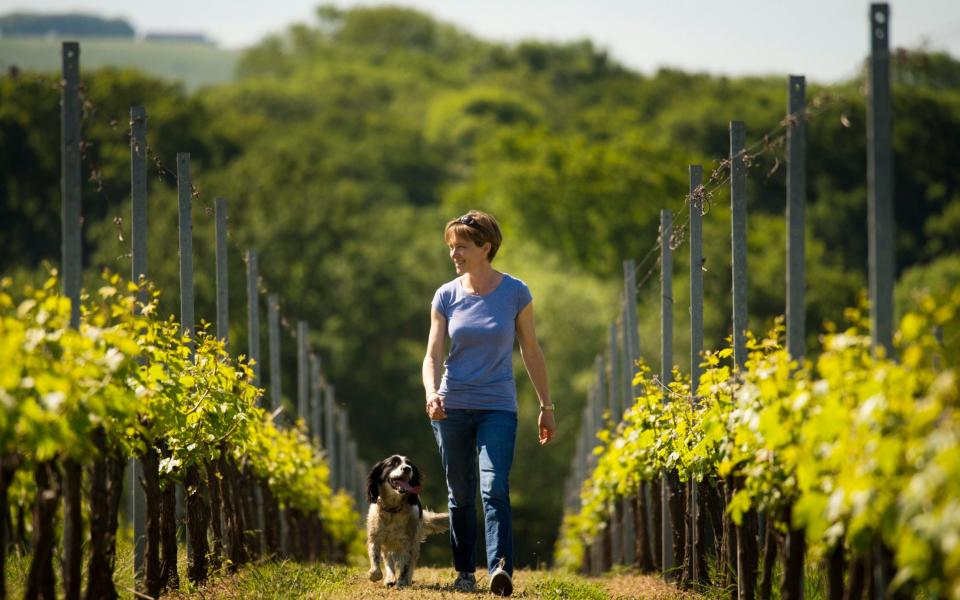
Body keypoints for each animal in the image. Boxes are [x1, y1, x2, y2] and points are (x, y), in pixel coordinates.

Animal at [368, 454, 450, 584]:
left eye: (409, 464)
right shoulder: (375, 536)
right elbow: (375, 558)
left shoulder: (409, 542)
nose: (407, 468)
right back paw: (390, 578)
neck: (393, 509)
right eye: (393, 463)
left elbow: (406, 565)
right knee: (388, 559)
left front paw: (402, 582)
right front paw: (374, 575)